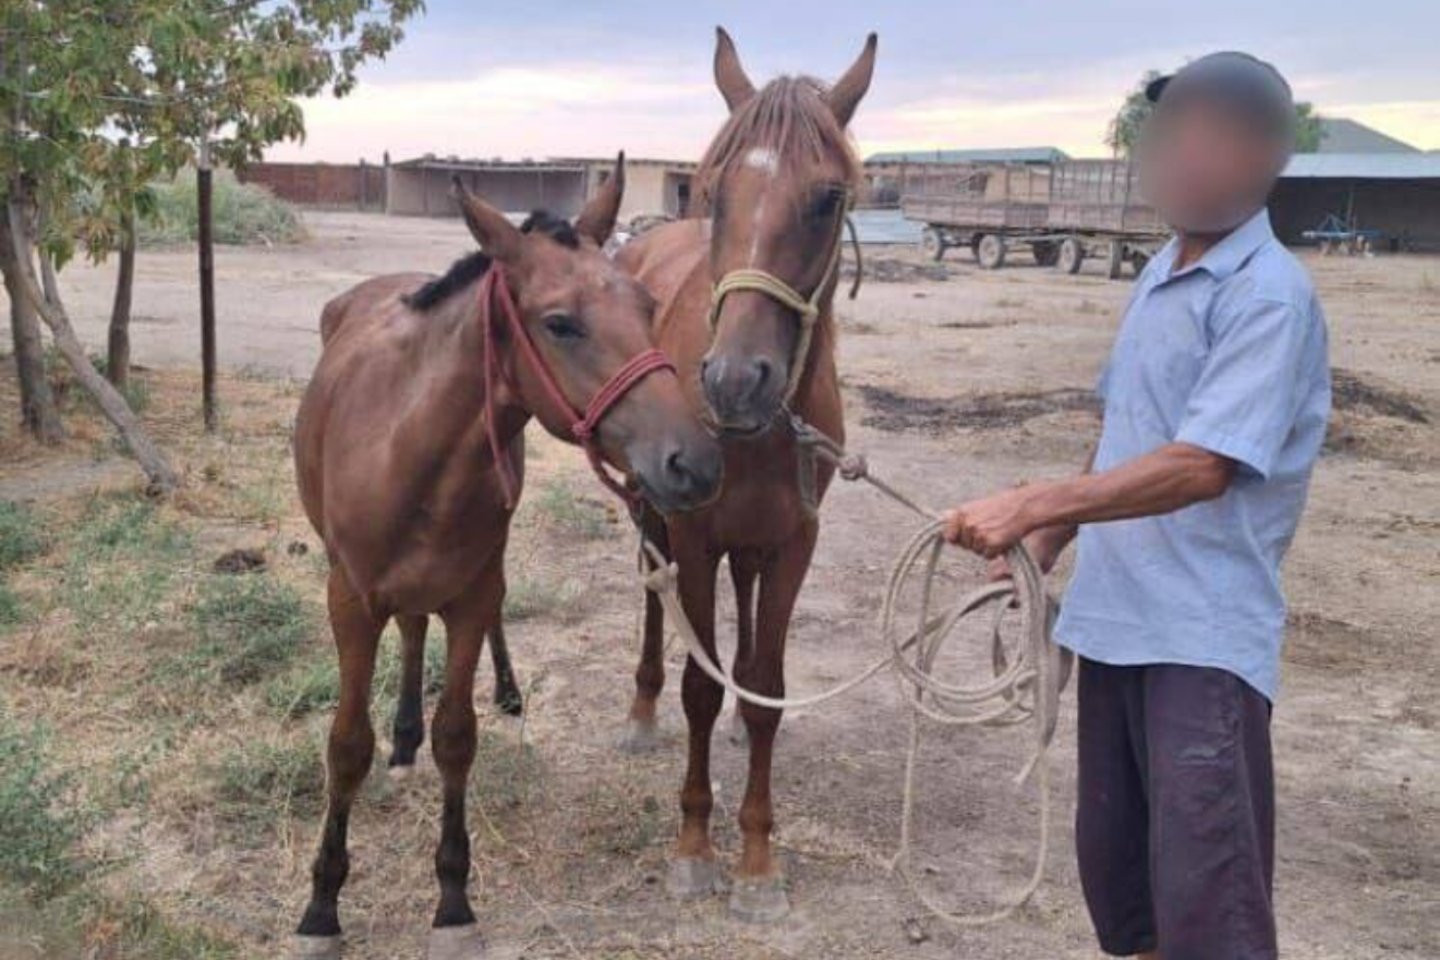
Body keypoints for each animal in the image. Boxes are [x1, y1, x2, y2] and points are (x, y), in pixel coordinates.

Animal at [292, 161, 725, 955]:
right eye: (560, 324)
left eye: (647, 307)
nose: (695, 463)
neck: (408, 450)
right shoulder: (351, 603)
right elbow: (346, 745)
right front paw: (323, 903)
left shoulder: (471, 594)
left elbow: (457, 735)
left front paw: (453, 897)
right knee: (409, 632)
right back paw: (402, 741)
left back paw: (489, 696)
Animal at [613, 26, 869, 921]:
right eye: (714, 191)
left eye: (829, 197)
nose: (734, 382)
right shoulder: (694, 534)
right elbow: (700, 683)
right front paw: (694, 846)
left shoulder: (796, 542)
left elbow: (764, 686)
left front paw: (758, 859)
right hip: (655, 514)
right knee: (653, 599)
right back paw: (641, 706)